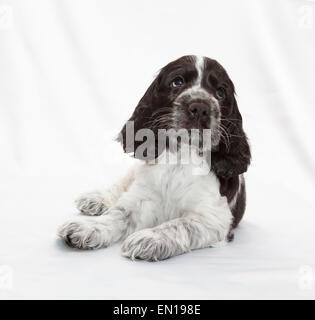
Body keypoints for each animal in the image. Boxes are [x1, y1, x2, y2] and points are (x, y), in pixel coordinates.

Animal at [58, 55, 252, 260]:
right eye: (177, 82)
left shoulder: (212, 217)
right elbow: (118, 213)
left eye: (220, 92)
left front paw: (149, 239)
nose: (200, 107)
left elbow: (179, 225)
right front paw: (86, 228)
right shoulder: (142, 198)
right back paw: (96, 199)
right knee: (121, 185)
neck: (180, 157)